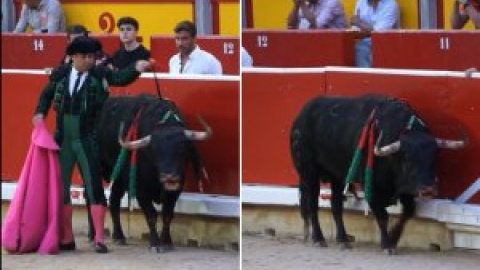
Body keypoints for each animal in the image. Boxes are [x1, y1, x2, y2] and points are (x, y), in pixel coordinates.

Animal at [84, 94, 210, 252]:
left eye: (182, 149)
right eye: (154, 150)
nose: (169, 177)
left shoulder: (176, 190)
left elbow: (167, 214)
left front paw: (167, 242)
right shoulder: (141, 190)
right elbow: (151, 215)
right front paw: (155, 243)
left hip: (119, 178)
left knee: (114, 200)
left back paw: (119, 236)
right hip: (90, 167)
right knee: (90, 196)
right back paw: (92, 234)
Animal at [288, 94, 464, 253]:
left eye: (435, 155)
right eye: (407, 157)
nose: (428, 189)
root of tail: (300, 117)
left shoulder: (406, 187)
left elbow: (408, 211)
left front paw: (394, 238)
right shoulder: (372, 188)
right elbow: (382, 216)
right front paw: (387, 245)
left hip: (337, 176)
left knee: (336, 205)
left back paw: (343, 240)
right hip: (309, 173)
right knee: (312, 204)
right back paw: (319, 239)